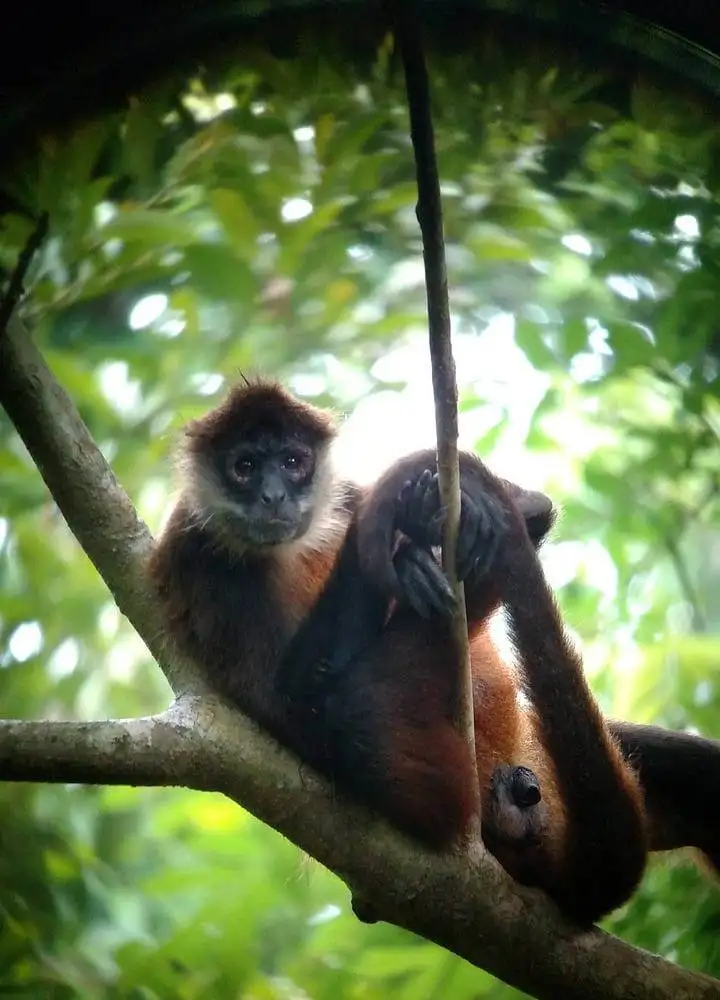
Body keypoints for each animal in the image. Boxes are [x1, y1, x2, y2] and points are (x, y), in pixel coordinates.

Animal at [149, 378, 719, 924]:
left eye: (293, 461)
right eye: (244, 467)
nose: (272, 495)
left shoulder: (340, 494)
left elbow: (529, 512)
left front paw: (439, 523)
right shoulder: (199, 555)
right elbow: (295, 707)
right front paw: (403, 536)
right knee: (354, 709)